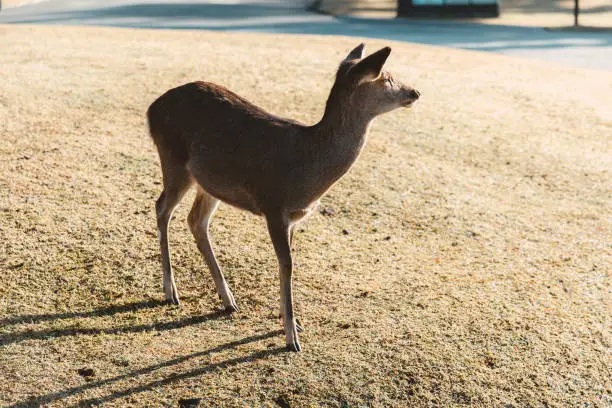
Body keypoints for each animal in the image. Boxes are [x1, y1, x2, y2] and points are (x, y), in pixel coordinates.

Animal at [146, 43, 418, 350]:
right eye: (386, 77)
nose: (414, 92)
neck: (307, 170)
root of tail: (151, 109)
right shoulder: (274, 204)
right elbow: (287, 263)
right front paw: (291, 337)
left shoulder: (293, 217)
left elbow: (288, 261)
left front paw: (292, 323)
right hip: (173, 159)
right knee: (162, 208)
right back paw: (171, 291)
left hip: (209, 182)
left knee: (196, 221)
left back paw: (228, 300)